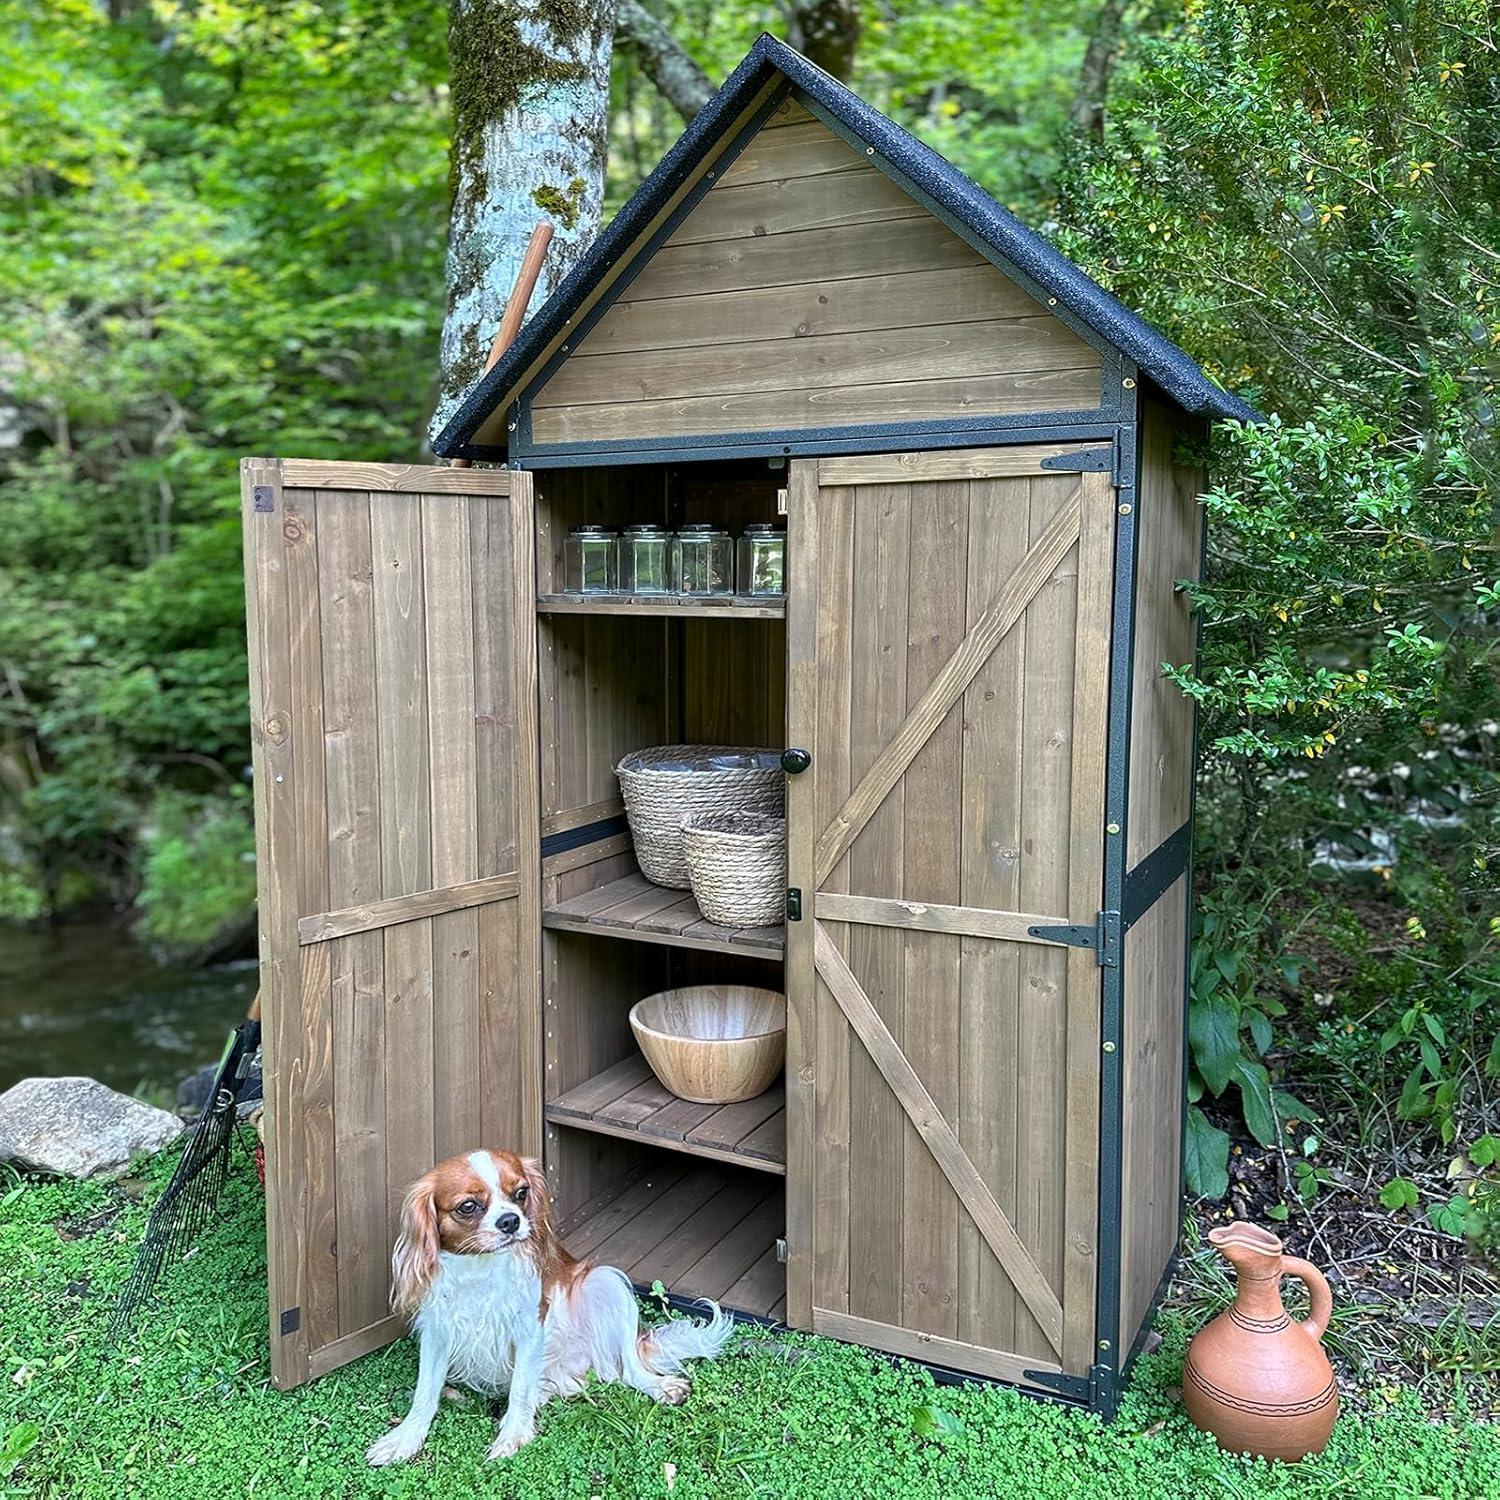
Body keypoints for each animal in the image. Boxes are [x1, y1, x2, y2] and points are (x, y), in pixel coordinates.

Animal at [366, 1146, 735, 1464]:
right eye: (468, 1206)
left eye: (521, 1193)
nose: (511, 1221)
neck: (480, 1267)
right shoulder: (438, 1332)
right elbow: (424, 1393)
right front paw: (405, 1438)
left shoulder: (530, 1328)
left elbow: (519, 1390)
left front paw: (513, 1436)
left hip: (607, 1283)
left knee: (627, 1368)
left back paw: (660, 1386)